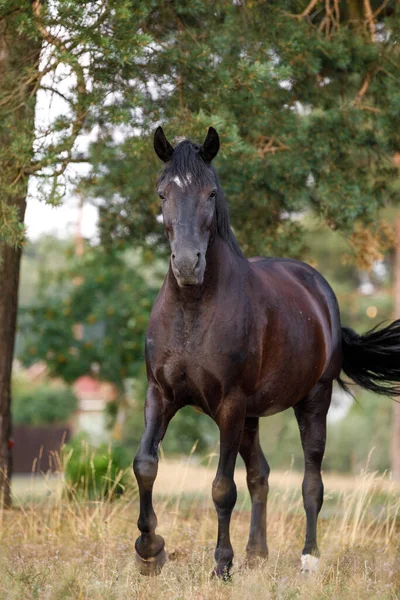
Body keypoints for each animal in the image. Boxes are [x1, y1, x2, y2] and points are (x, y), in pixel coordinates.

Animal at [134, 125, 400, 576]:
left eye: (210, 193)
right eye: (161, 193)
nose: (187, 265)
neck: (192, 310)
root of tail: (319, 290)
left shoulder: (229, 404)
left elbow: (222, 487)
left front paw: (222, 565)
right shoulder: (161, 395)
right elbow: (146, 465)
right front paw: (150, 551)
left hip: (312, 402)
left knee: (312, 483)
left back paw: (308, 558)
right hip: (252, 417)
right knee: (261, 473)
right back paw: (257, 553)